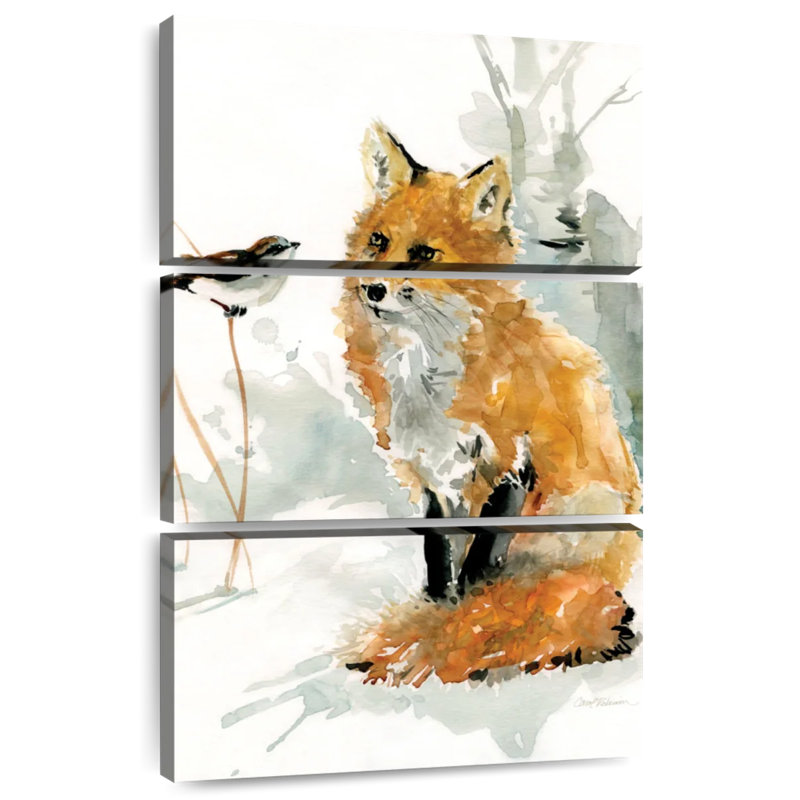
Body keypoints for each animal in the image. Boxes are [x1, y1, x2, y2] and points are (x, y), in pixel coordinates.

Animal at [336, 277, 642, 685]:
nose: (371, 288)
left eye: (421, 262)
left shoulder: (512, 463)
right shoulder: (438, 483)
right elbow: (440, 562)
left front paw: (457, 620)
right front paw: (440, 608)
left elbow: (479, 569)